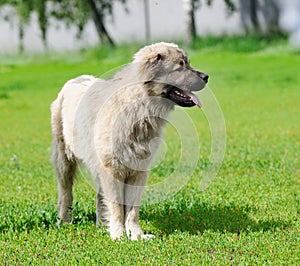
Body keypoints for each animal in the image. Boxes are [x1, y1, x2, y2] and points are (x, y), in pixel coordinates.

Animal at [50, 42, 207, 240]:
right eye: (180, 67)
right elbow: (117, 206)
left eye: (187, 63)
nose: (206, 77)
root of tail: (73, 80)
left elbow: (132, 208)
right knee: (66, 193)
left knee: (99, 196)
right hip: (64, 161)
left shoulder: (138, 170)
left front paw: (136, 234)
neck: (139, 106)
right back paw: (64, 221)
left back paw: (102, 225)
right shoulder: (113, 169)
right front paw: (118, 234)